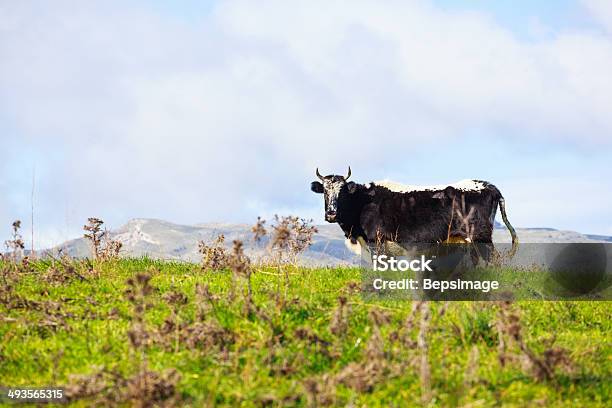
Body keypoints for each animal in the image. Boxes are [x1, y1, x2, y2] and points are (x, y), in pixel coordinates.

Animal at [310, 167, 516, 258]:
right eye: (325, 192)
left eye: (342, 192)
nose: (331, 214)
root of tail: (488, 185)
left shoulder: (376, 241)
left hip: (481, 237)